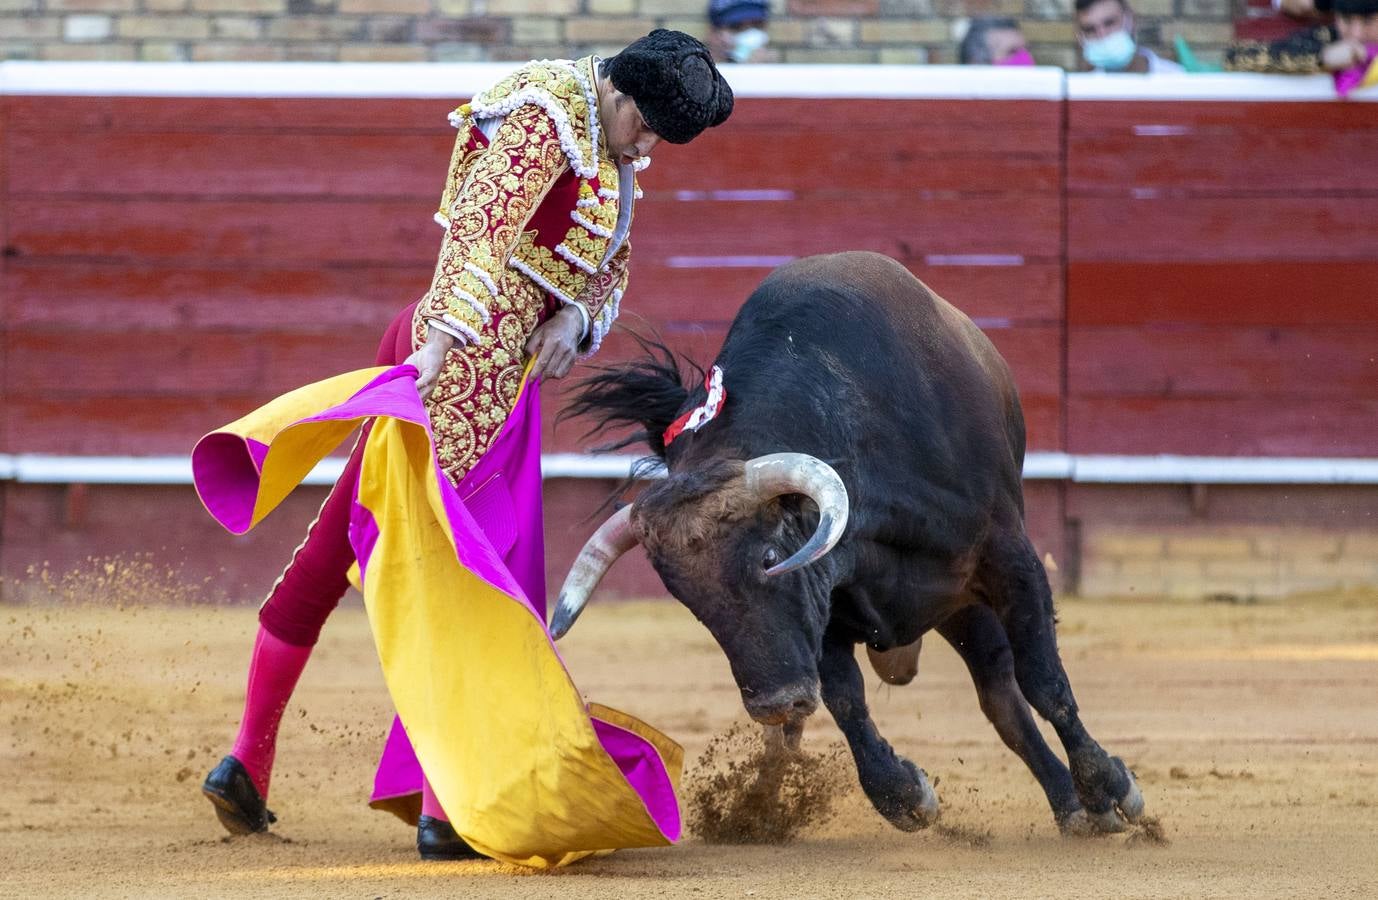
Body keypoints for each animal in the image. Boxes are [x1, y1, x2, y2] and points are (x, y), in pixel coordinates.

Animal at [548, 249, 1140, 832]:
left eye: (769, 557)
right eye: (689, 601)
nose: (775, 702)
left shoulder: (1009, 558)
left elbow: (1044, 677)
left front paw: (1112, 789)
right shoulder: (823, 604)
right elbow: (846, 700)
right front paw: (907, 795)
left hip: (964, 599)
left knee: (1005, 689)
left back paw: (1084, 807)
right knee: (992, 701)